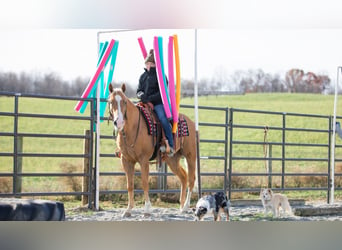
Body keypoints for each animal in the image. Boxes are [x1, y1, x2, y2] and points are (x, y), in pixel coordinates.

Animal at [107, 83, 198, 217]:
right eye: (110, 101)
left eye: (124, 101)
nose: (119, 122)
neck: (133, 128)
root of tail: (191, 123)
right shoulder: (126, 160)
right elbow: (130, 185)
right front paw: (128, 210)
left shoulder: (143, 160)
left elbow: (145, 183)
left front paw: (147, 209)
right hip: (172, 159)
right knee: (183, 177)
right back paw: (182, 207)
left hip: (190, 156)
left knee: (191, 179)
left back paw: (186, 206)